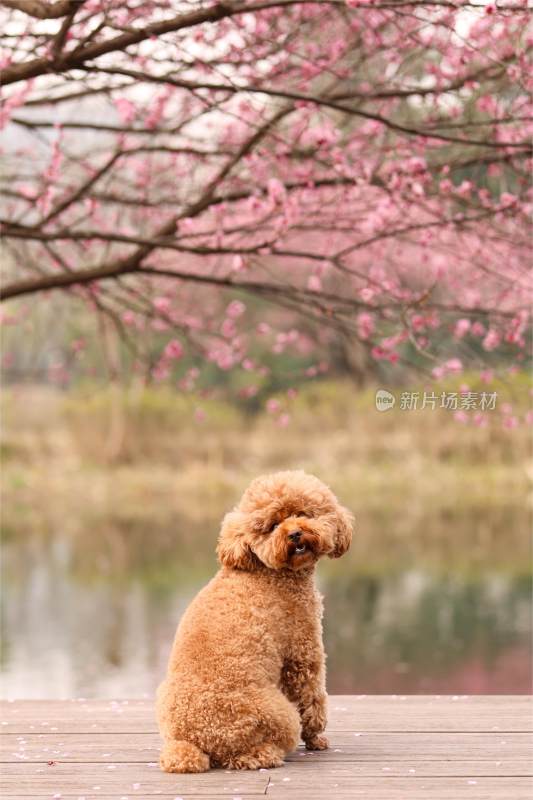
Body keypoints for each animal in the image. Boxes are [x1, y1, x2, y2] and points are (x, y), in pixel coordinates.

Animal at [155, 472, 354, 772]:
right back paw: (266, 753)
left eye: (302, 513)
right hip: (279, 714)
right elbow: (312, 697)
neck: (268, 571)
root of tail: (197, 741)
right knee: (246, 755)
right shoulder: (303, 649)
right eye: (272, 526)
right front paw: (316, 738)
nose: (294, 533)